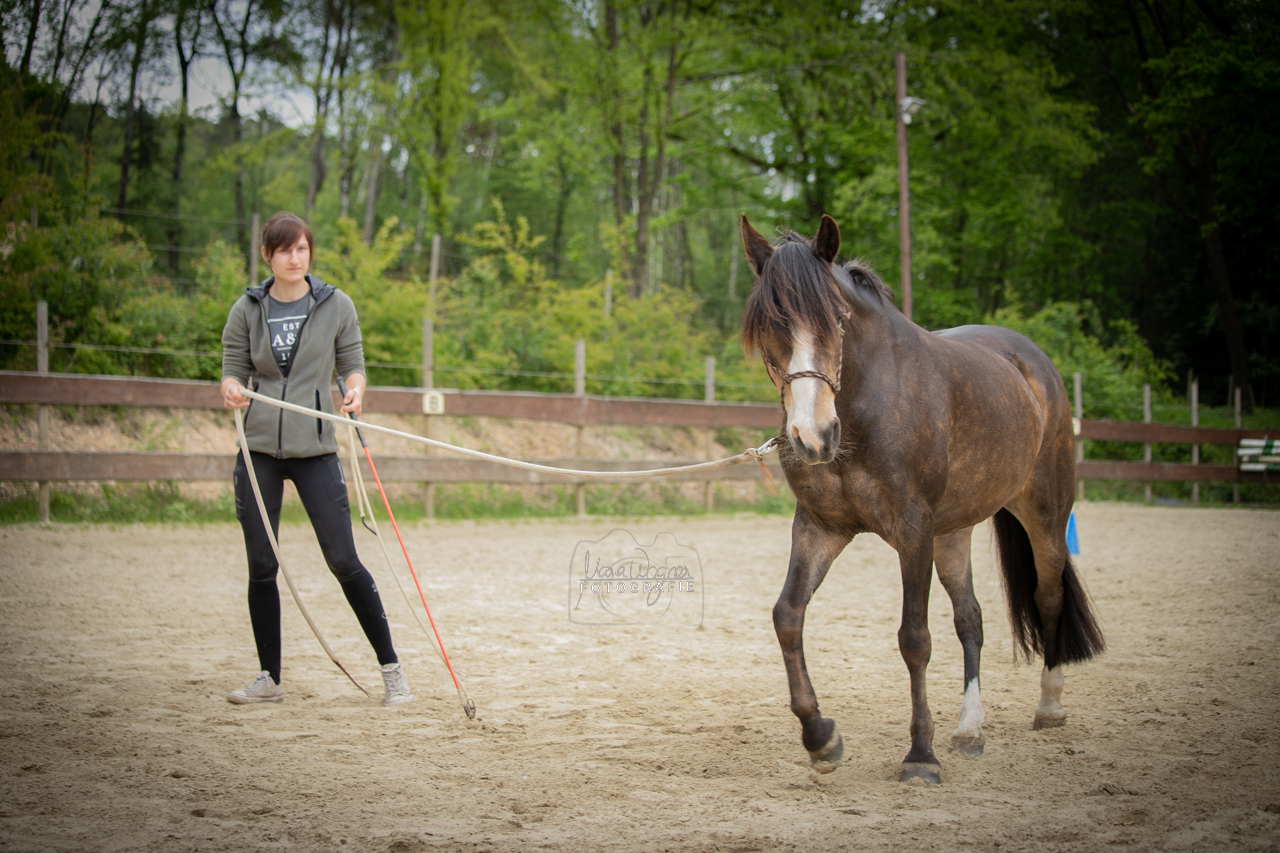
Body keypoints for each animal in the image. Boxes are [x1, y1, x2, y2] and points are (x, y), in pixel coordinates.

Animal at [747, 213, 1105, 783]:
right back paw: (969, 728)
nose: (812, 436)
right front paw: (821, 737)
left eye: (838, 320)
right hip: (954, 531)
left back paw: (1048, 707)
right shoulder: (821, 527)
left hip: (1046, 517)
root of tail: (1034, 364)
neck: (866, 404)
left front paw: (920, 755)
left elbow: (914, 638)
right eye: (768, 327)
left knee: (1047, 597)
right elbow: (788, 616)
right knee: (970, 618)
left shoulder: (912, 531)